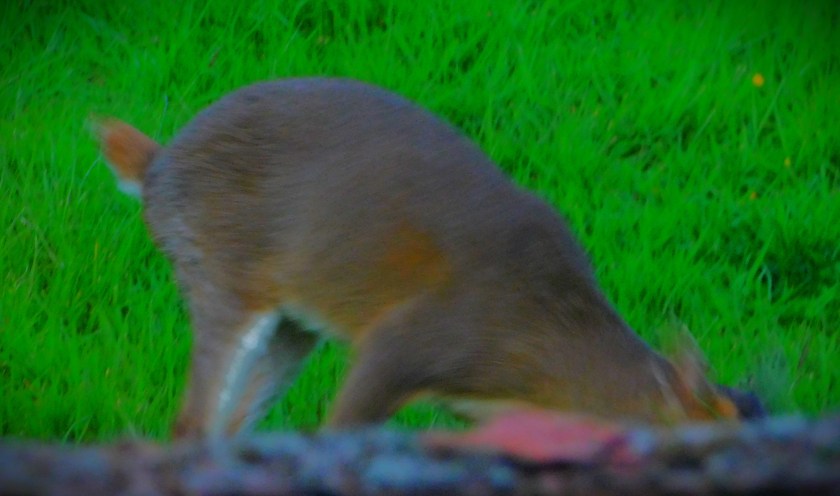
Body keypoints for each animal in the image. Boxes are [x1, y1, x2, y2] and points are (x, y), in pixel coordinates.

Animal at [95, 77, 745, 440]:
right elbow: (339, 428)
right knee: (193, 422)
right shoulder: (403, 343)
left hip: (294, 324)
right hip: (221, 270)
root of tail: (154, 166)